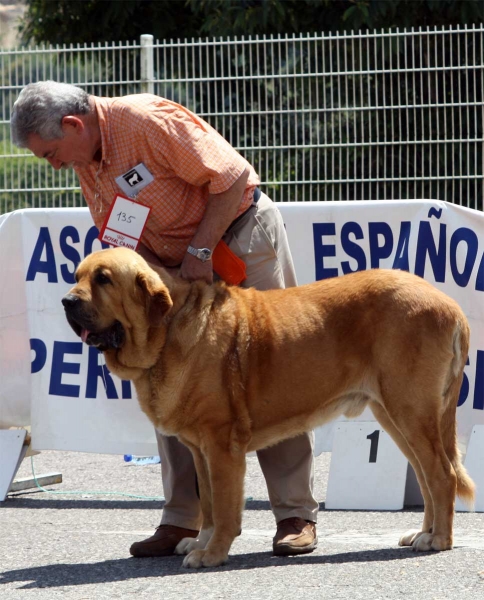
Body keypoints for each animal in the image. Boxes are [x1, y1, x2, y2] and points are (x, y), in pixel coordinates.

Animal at [62, 247, 474, 568]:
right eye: (78, 276)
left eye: (103, 279)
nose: (68, 301)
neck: (169, 329)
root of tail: (451, 306)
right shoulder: (199, 449)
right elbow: (207, 501)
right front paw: (201, 541)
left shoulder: (221, 445)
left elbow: (224, 505)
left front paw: (211, 554)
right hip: (395, 415)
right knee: (426, 476)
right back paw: (423, 533)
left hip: (410, 411)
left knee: (442, 475)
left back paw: (439, 540)